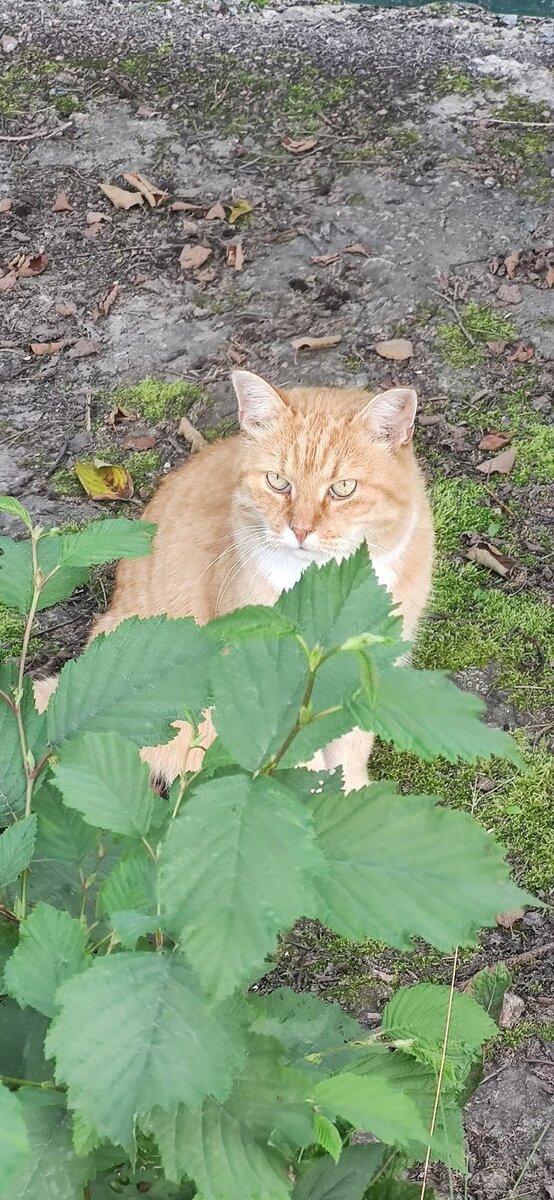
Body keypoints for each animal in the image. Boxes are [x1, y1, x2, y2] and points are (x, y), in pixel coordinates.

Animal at [34, 369, 434, 792]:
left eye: (343, 488)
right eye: (277, 482)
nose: (300, 530)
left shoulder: (364, 676)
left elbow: (350, 749)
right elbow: (297, 762)